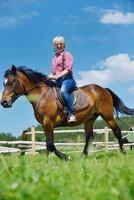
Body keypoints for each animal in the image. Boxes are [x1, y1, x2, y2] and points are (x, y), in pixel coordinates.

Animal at [1, 65, 134, 160]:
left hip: (107, 115)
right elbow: (48, 144)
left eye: (12, 82)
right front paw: (48, 162)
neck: (41, 96)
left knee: (117, 131)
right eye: (4, 83)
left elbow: (50, 144)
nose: (4, 102)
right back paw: (83, 156)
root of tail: (104, 89)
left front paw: (66, 157)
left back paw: (123, 153)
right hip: (90, 118)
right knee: (89, 137)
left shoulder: (48, 122)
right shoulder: (46, 124)